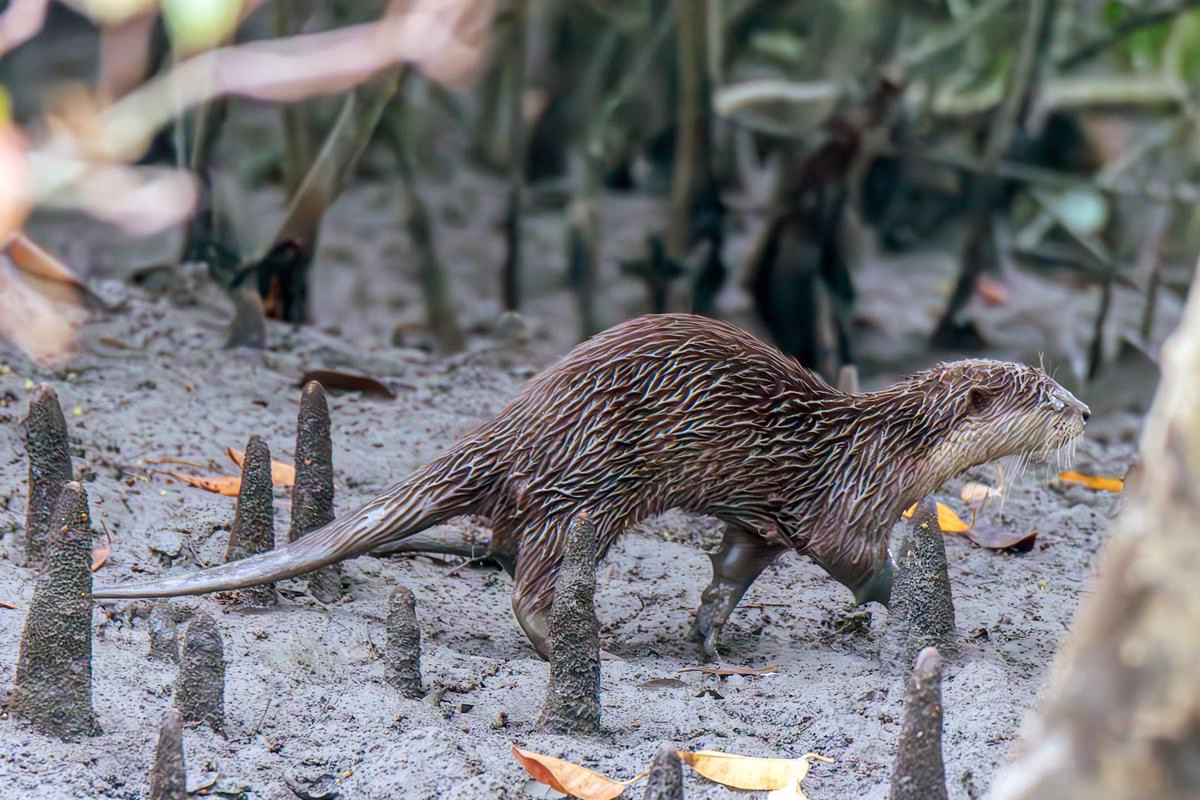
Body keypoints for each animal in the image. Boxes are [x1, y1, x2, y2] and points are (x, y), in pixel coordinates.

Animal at [94, 314, 1089, 658]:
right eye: (1043, 395)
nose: (1084, 411)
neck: (888, 445)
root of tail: (512, 425)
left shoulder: (761, 520)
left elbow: (735, 564)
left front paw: (712, 633)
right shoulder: (845, 501)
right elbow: (853, 560)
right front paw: (899, 607)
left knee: (504, 547)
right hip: (594, 486)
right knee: (533, 576)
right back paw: (576, 642)